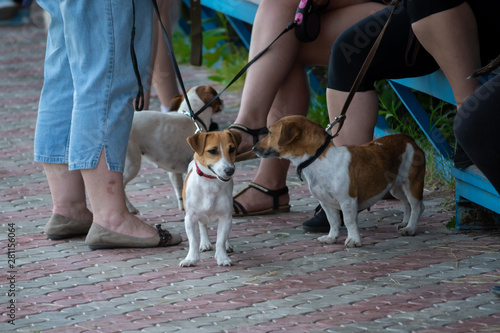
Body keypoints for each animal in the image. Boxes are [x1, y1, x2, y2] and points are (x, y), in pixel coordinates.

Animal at [123, 85, 223, 213]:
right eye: (217, 97)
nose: (223, 101)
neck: (193, 118)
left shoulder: (174, 171)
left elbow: (179, 190)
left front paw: (182, 206)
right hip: (131, 165)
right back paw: (131, 209)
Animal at [180, 128, 242, 266]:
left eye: (232, 149)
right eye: (213, 151)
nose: (230, 170)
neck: (210, 183)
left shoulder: (225, 217)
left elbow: (220, 241)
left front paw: (222, 257)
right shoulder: (190, 218)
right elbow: (193, 241)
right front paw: (190, 259)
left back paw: (227, 245)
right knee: (202, 226)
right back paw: (205, 243)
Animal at [254, 115, 426, 248]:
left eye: (270, 132)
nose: (254, 148)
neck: (318, 160)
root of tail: (409, 140)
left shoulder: (347, 201)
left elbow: (349, 221)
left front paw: (353, 240)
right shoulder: (326, 203)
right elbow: (333, 221)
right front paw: (331, 238)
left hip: (411, 184)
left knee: (417, 206)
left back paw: (410, 228)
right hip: (396, 187)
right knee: (406, 204)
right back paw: (405, 222)